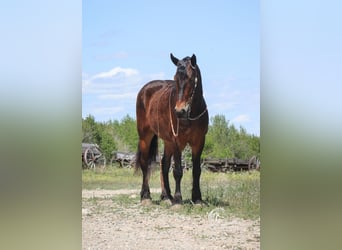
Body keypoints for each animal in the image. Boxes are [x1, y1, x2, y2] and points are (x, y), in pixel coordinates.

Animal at [135, 53, 207, 204]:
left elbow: (196, 171)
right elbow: (178, 171)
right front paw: (178, 199)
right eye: (175, 78)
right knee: (145, 164)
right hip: (145, 137)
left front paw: (197, 198)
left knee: (164, 164)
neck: (191, 114)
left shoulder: (199, 142)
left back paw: (167, 196)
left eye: (190, 78)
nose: (180, 111)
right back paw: (146, 196)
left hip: (167, 141)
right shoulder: (177, 141)